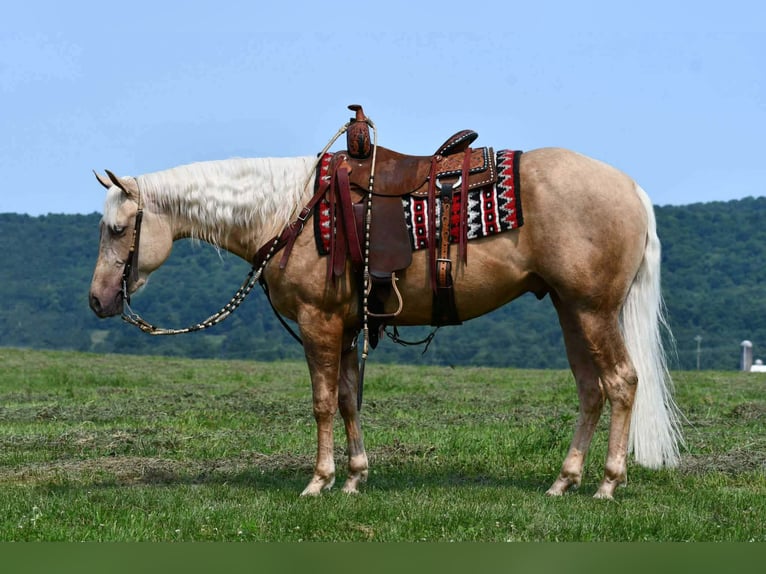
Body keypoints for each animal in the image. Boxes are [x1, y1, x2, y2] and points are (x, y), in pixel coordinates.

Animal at [88, 138, 683, 499]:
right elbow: (349, 399)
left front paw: (319, 481)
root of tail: (632, 189)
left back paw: (607, 484)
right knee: (591, 389)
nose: (97, 300)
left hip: (592, 309)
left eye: (117, 229)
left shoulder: (319, 322)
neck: (289, 212)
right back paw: (564, 481)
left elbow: (323, 402)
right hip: (569, 308)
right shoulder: (348, 327)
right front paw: (355, 478)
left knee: (621, 382)